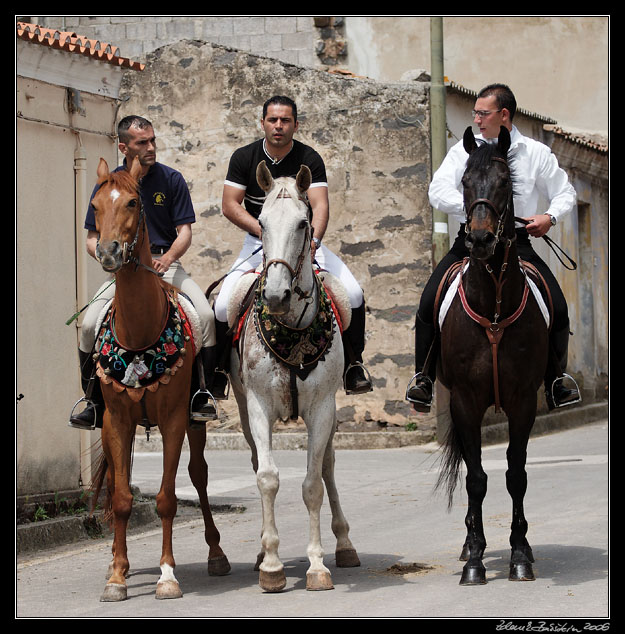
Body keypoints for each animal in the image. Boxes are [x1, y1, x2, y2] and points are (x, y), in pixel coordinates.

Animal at [90, 156, 229, 600]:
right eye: (95, 205)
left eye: (134, 202)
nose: (108, 252)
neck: (139, 335)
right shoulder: (116, 421)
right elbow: (120, 498)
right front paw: (117, 576)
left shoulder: (172, 421)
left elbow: (168, 498)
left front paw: (167, 576)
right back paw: (116, 562)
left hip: (193, 422)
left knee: (199, 476)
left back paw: (216, 554)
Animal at [227, 160, 358, 592]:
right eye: (261, 222)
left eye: (303, 223)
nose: (276, 295)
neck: (293, 331)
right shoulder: (257, 407)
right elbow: (267, 477)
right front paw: (271, 565)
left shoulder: (321, 409)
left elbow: (313, 483)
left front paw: (317, 566)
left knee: (328, 466)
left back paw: (345, 545)